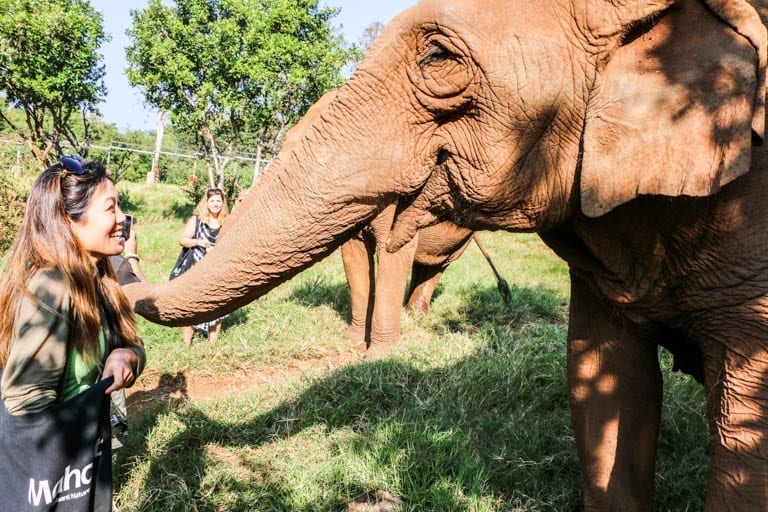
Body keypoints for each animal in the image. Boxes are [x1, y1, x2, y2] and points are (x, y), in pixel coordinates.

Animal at [127, 1, 768, 508]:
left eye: (438, 57)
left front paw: (378, 352)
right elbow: (608, 388)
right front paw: (361, 345)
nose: (124, 248)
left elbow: (743, 430)